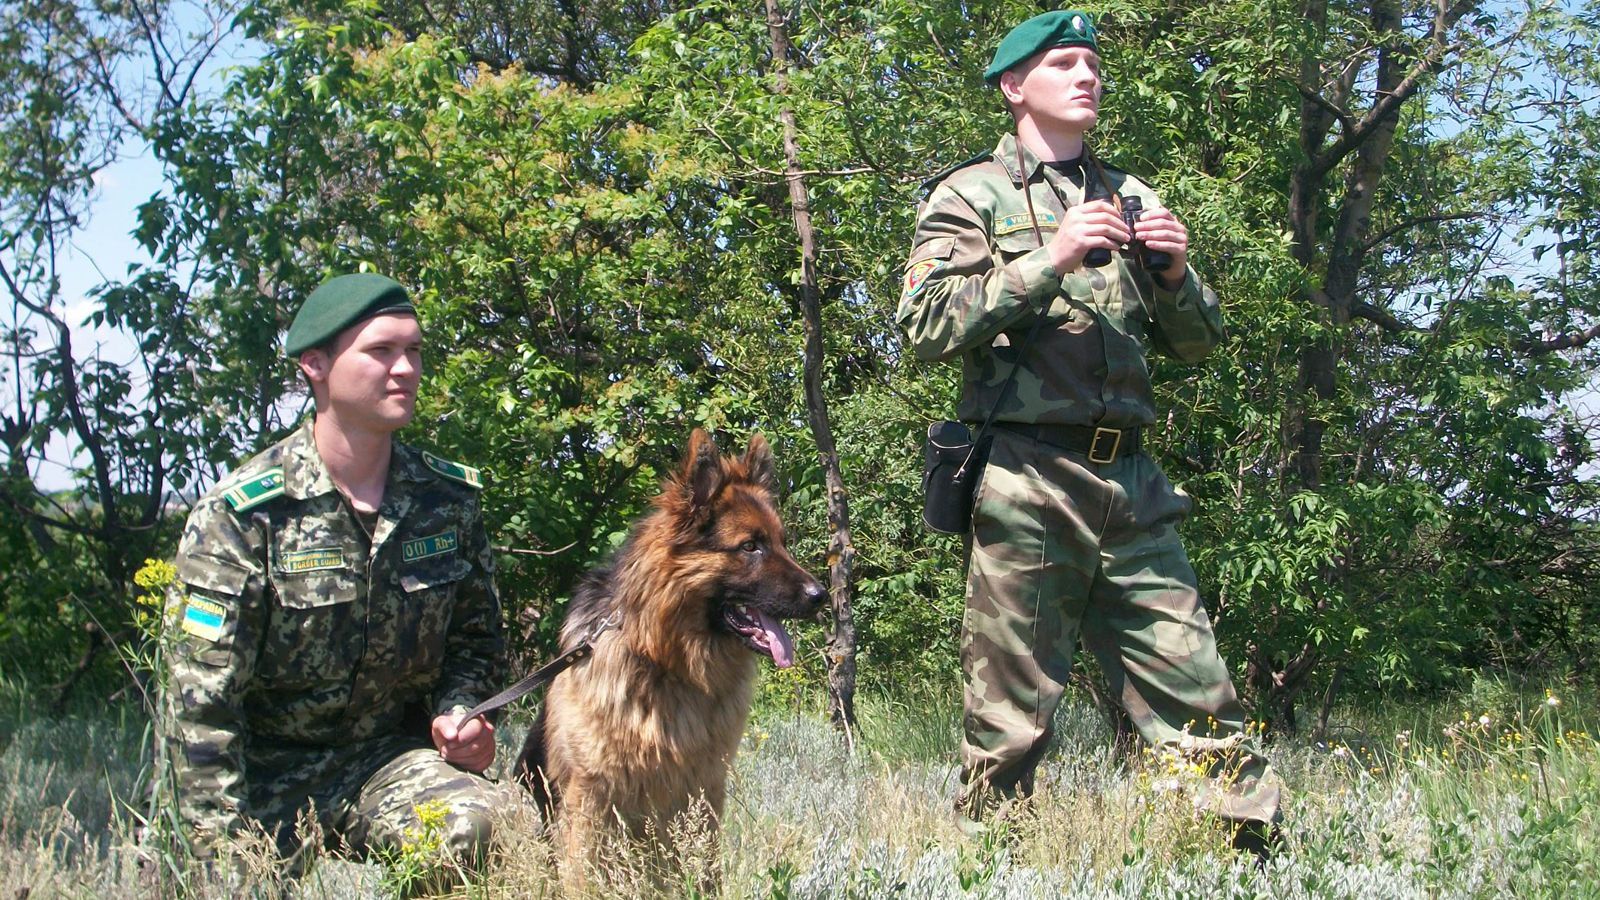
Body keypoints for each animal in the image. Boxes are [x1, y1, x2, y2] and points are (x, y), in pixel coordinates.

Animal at [515, 432, 825, 871]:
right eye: (750, 546)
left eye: (783, 543)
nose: (821, 596)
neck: (664, 658)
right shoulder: (588, 793)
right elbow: (581, 873)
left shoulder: (704, 788)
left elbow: (707, 869)